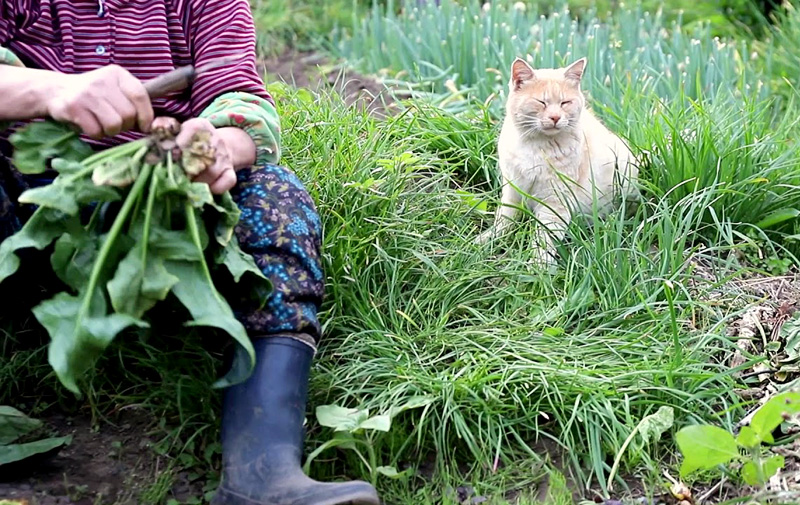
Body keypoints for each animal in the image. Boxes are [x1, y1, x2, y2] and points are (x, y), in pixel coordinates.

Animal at [476, 56, 636, 264]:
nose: (555, 117)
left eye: (564, 103)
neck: (536, 147)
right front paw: (487, 240)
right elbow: (504, 221)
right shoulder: (513, 191)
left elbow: (543, 239)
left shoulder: (555, 203)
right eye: (541, 102)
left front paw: (539, 265)